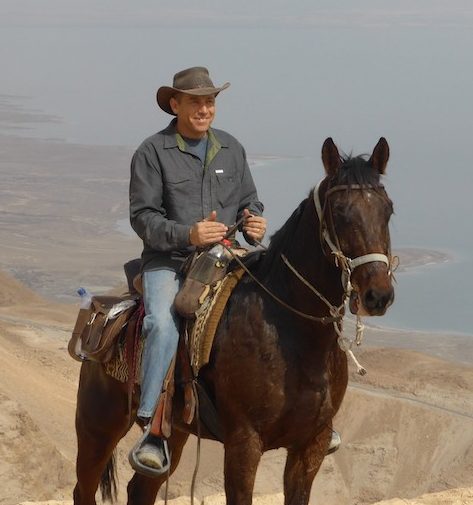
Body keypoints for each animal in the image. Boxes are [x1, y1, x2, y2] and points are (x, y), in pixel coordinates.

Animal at [73, 136, 394, 502]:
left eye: (388, 210)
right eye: (340, 213)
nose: (378, 295)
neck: (295, 337)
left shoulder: (310, 446)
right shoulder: (244, 444)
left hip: (175, 433)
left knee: (141, 489)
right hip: (97, 429)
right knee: (84, 490)